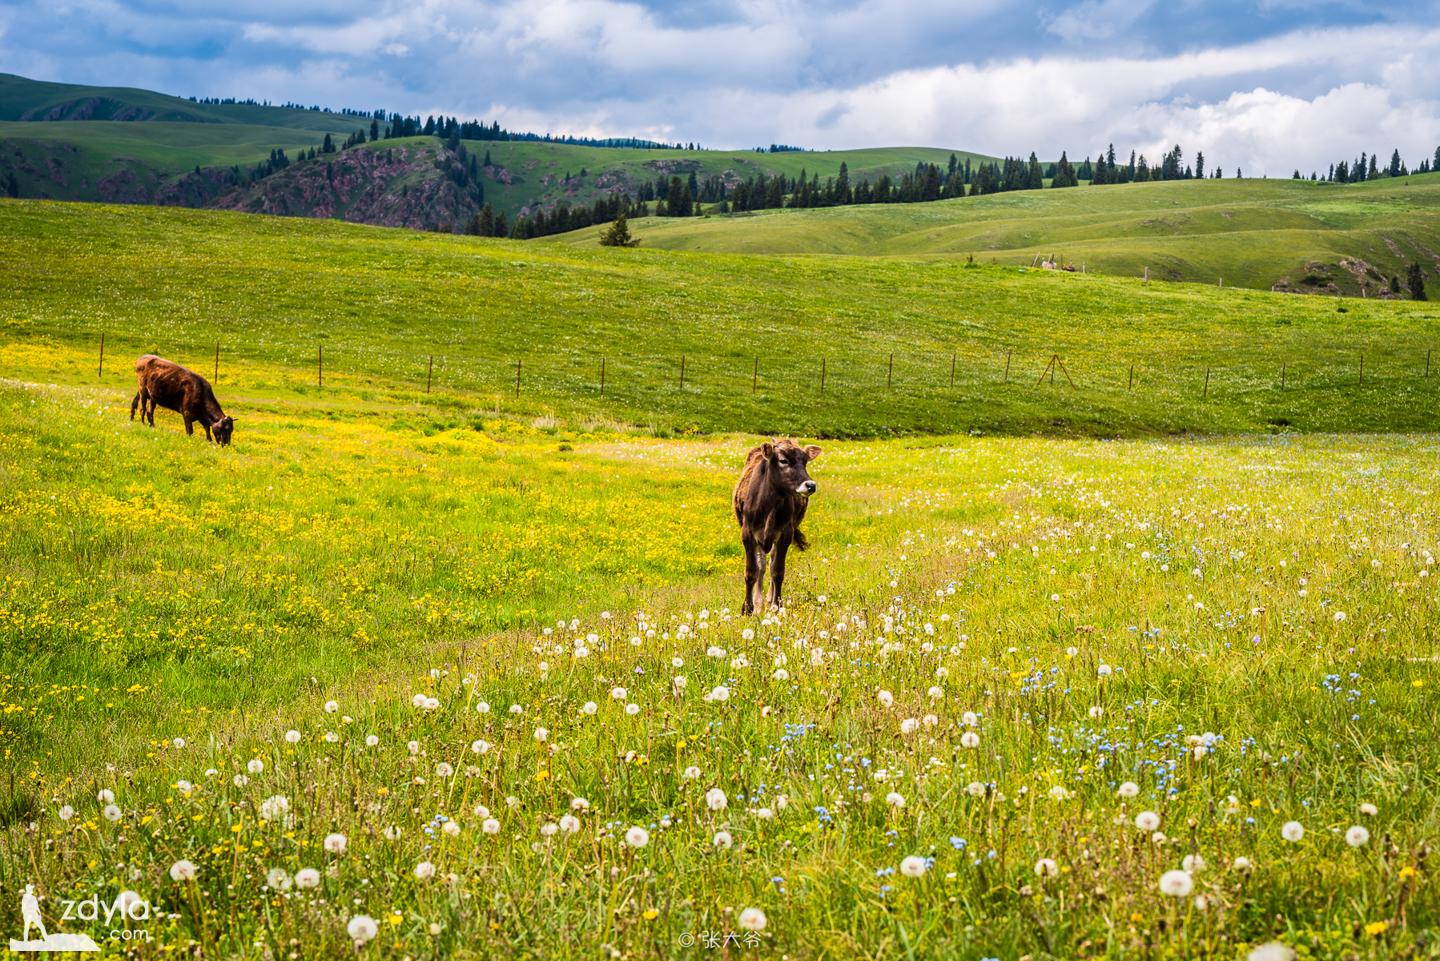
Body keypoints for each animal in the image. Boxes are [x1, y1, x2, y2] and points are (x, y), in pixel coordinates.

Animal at [731, 437, 823, 613]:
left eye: (805, 462)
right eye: (783, 460)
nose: (811, 485)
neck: (769, 506)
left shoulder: (785, 533)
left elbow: (778, 571)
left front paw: (777, 606)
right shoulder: (747, 533)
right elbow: (752, 571)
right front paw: (748, 608)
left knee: (771, 561)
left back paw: (768, 599)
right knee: (761, 565)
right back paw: (758, 601)